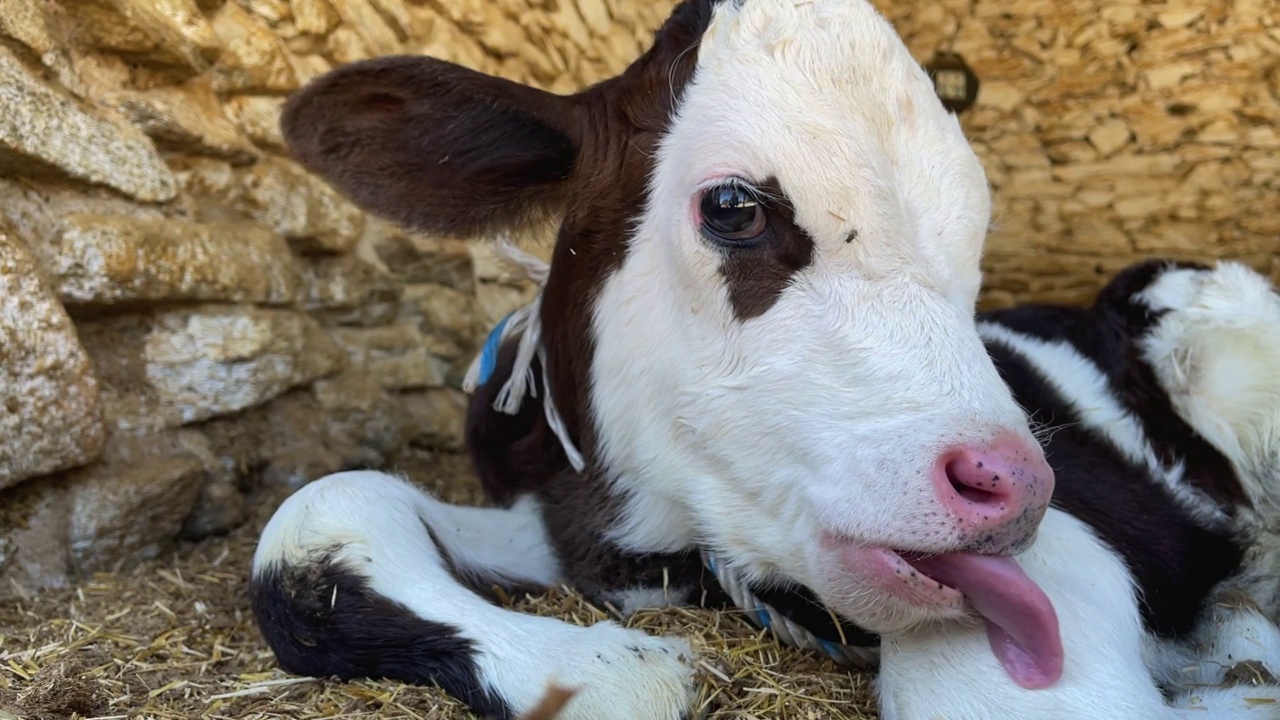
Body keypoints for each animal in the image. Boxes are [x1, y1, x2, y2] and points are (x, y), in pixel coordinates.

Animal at [244, 2, 1280, 712]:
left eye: (974, 239)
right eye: (735, 207)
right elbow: (323, 507)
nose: (1017, 485)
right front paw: (595, 669)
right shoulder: (574, 524)